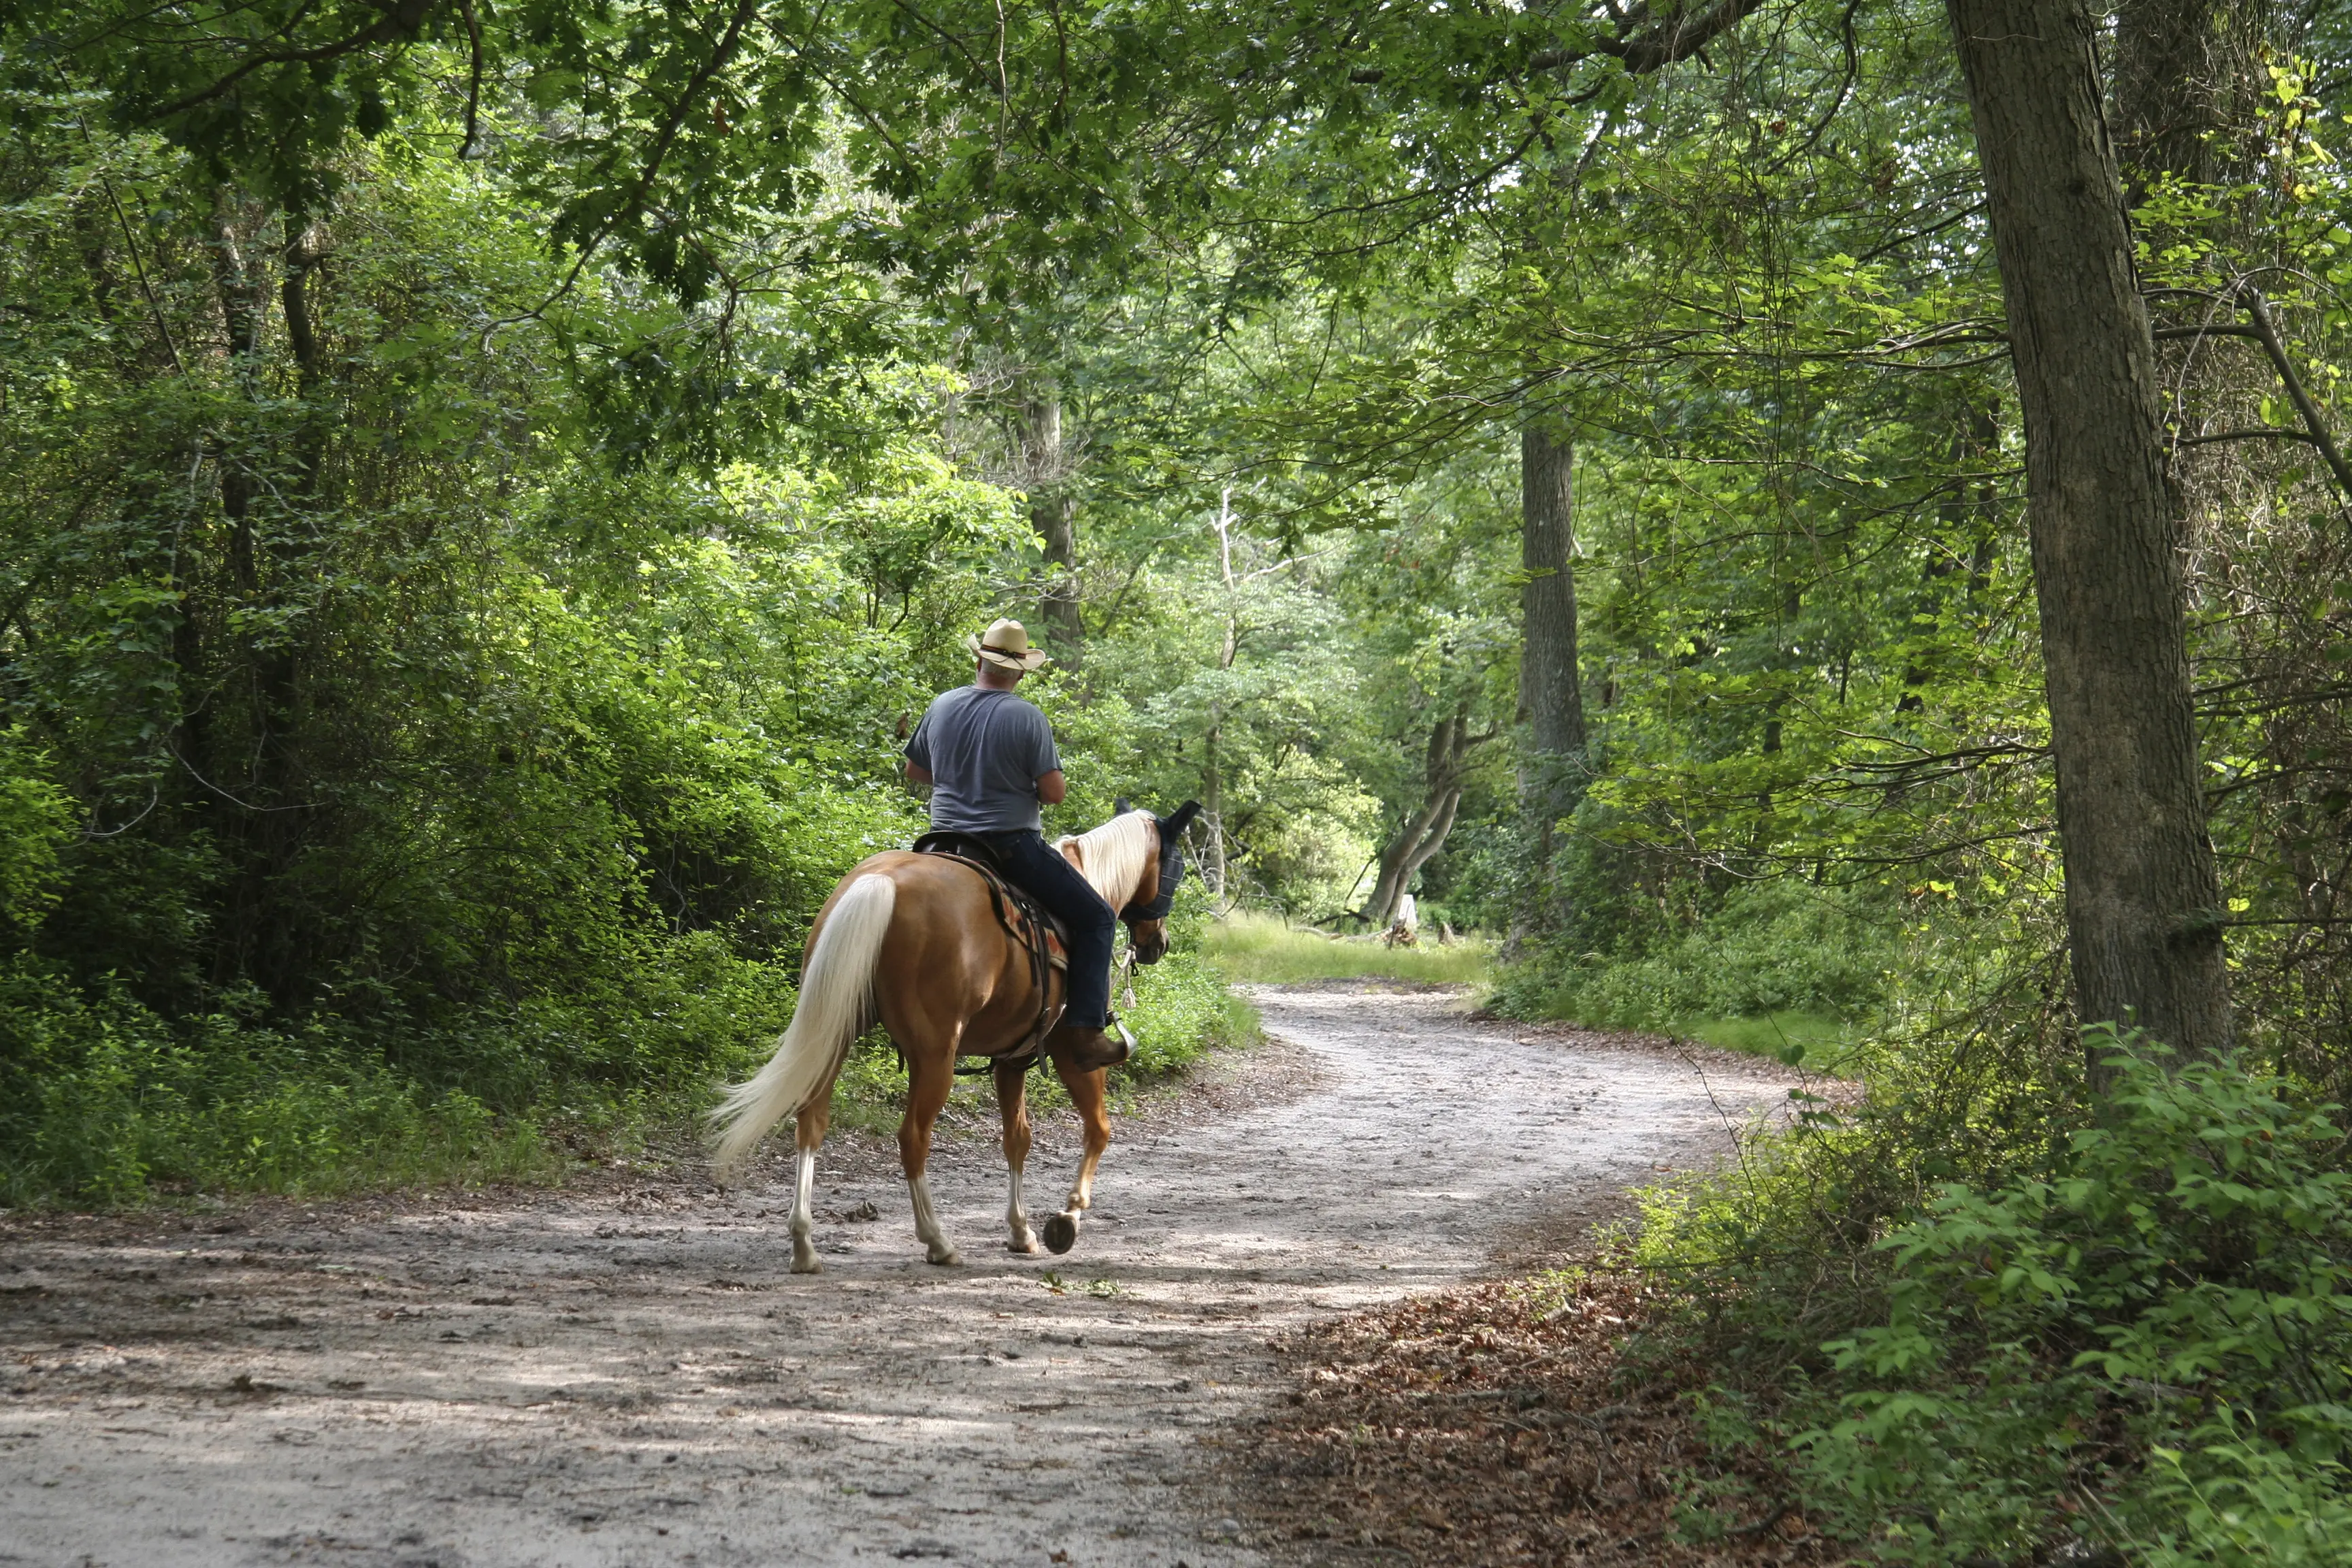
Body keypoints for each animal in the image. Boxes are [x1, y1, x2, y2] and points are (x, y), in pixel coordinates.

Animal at [710, 801, 1201, 1273]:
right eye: (1176, 868)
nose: (1158, 943)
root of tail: (881, 882)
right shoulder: (1071, 1052)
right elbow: (1098, 1130)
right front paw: (1067, 1218)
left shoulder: (1011, 1060)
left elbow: (1017, 1138)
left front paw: (1021, 1232)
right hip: (935, 1055)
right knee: (913, 1137)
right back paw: (937, 1241)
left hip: (836, 1033)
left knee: (811, 1121)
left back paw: (804, 1245)